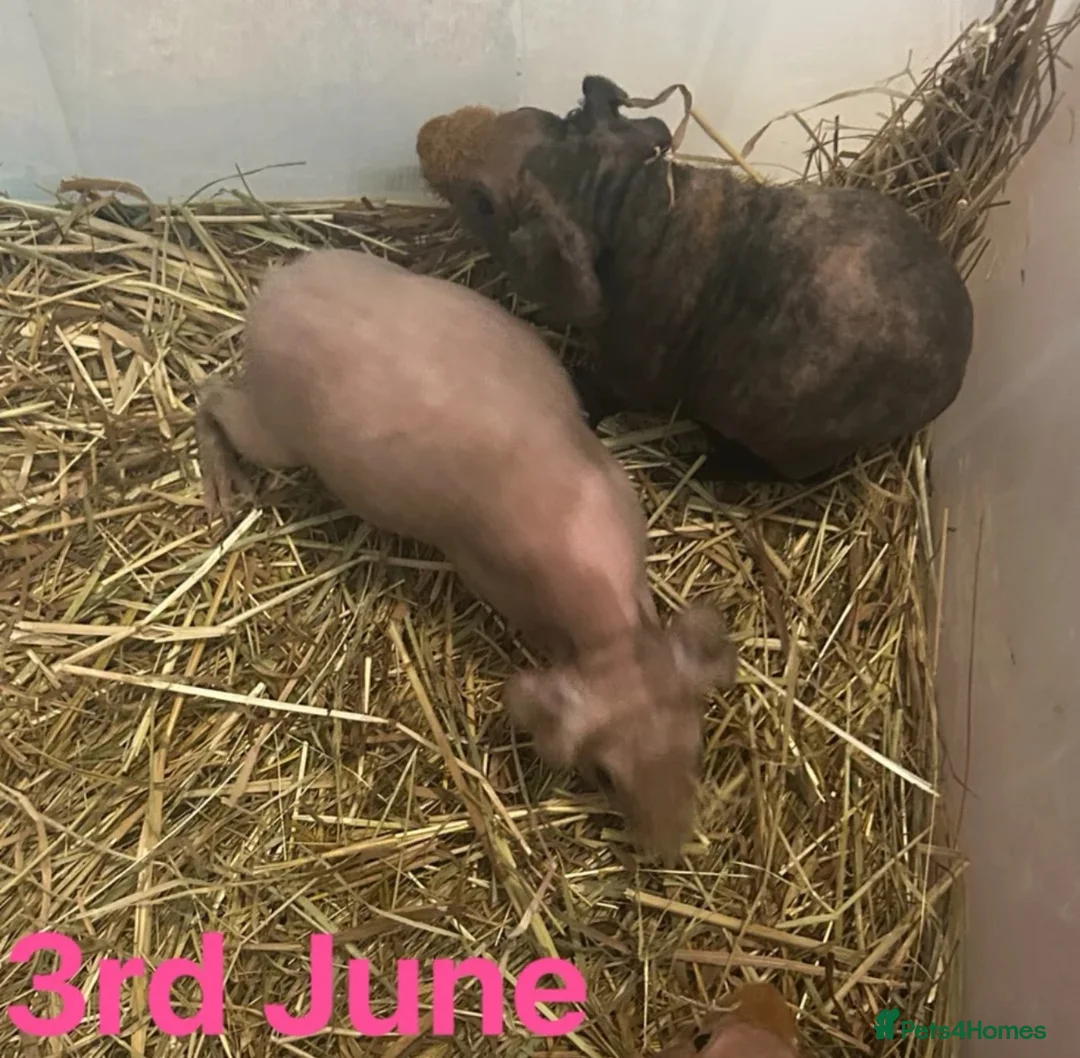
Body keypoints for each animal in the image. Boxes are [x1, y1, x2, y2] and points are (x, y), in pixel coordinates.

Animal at [193, 247, 738, 859]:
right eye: (605, 775)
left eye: (697, 748)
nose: (670, 850)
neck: (608, 623)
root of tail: (275, 285)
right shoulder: (487, 574)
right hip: (275, 430)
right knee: (211, 395)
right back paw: (225, 491)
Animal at [416, 74, 975, 483]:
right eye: (563, 116)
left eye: (484, 203)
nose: (424, 136)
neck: (634, 205)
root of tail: (956, 373)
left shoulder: (630, 373)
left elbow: (598, 392)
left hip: (784, 447)